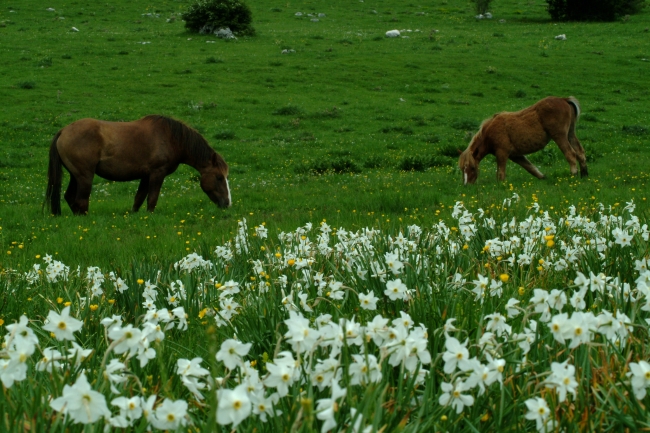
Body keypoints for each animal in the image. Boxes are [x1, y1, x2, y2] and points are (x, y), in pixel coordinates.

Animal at [45, 115, 230, 214]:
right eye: (219, 178)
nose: (227, 203)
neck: (171, 138)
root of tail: (63, 131)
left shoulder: (146, 176)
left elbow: (139, 198)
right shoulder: (157, 173)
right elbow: (152, 198)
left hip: (75, 176)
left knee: (70, 197)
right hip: (85, 176)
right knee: (81, 201)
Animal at [456, 96, 588, 184]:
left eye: (472, 168)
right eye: (462, 169)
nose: (466, 185)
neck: (490, 131)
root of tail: (564, 99)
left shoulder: (502, 154)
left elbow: (500, 173)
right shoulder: (516, 156)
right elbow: (531, 168)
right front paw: (543, 178)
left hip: (560, 136)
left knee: (571, 154)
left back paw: (573, 175)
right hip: (570, 134)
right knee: (580, 152)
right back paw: (584, 175)